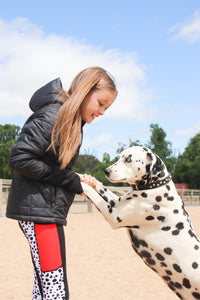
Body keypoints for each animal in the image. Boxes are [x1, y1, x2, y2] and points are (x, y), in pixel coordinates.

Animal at [81, 146, 200, 300]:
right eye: (120, 157)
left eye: (128, 159)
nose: (106, 171)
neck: (155, 187)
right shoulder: (117, 202)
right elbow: (102, 188)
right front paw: (88, 178)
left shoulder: (113, 215)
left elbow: (91, 191)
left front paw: (81, 182)